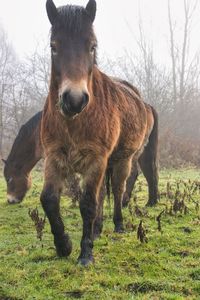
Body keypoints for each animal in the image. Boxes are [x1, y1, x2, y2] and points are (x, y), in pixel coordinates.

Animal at [40, 0, 158, 264]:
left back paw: (117, 225)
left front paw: (85, 254)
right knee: (104, 193)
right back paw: (97, 229)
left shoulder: (96, 159)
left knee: (117, 189)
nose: (74, 100)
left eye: (92, 46)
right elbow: (49, 200)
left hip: (122, 160)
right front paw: (64, 245)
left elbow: (88, 204)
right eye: (54, 47)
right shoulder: (54, 156)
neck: (74, 121)